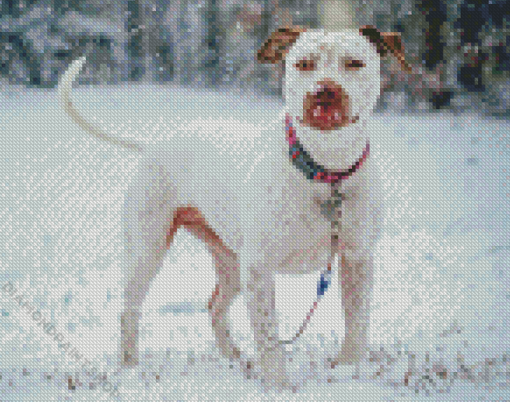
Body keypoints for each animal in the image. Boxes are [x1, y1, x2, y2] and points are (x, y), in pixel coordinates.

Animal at [58, 25, 410, 390]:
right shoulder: (259, 267)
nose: (324, 91)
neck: (326, 170)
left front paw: (348, 373)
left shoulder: (357, 258)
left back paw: (235, 360)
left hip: (230, 261)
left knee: (215, 307)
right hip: (148, 250)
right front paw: (278, 387)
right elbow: (269, 336)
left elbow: (356, 322)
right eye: (304, 63)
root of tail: (155, 145)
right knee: (129, 309)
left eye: (354, 63)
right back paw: (130, 368)